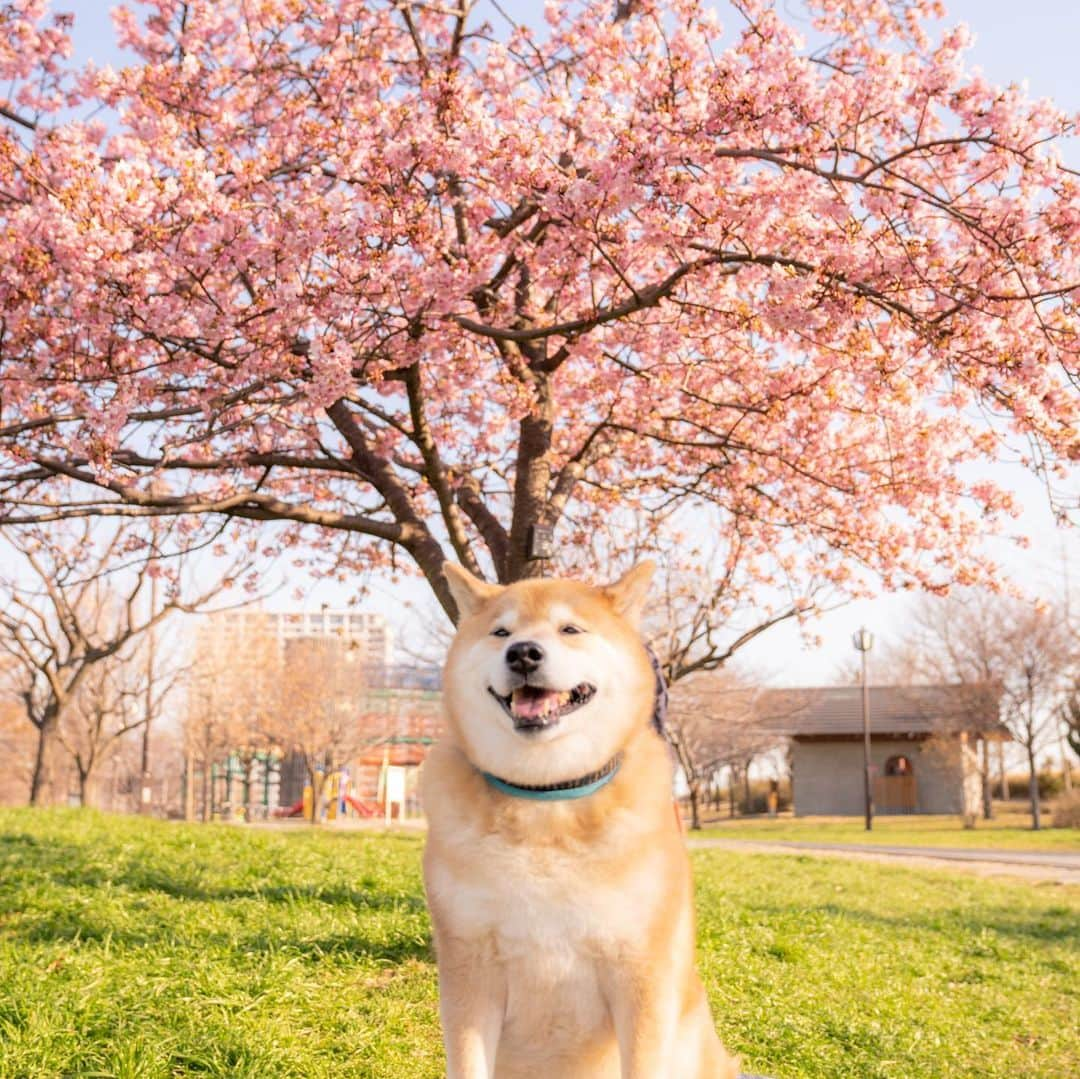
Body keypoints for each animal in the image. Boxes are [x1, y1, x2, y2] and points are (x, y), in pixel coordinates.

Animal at [416, 565, 738, 1079]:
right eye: (501, 632)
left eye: (570, 629)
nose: (523, 652)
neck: (548, 795)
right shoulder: (470, 968)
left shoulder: (641, 973)